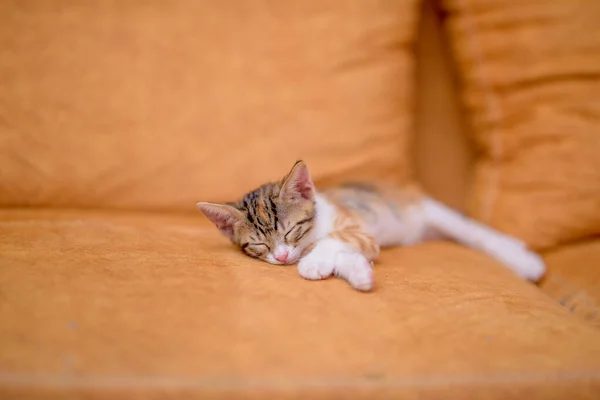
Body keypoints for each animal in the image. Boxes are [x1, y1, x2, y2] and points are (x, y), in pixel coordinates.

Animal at [197, 159, 544, 290]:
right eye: (259, 244)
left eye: (290, 229)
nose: (281, 256)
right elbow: (346, 255)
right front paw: (358, 272)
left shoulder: (359, 230)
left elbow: (332, 241)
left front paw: (314, 262)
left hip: (423, 209)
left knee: (471, 231)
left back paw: (521, 259)